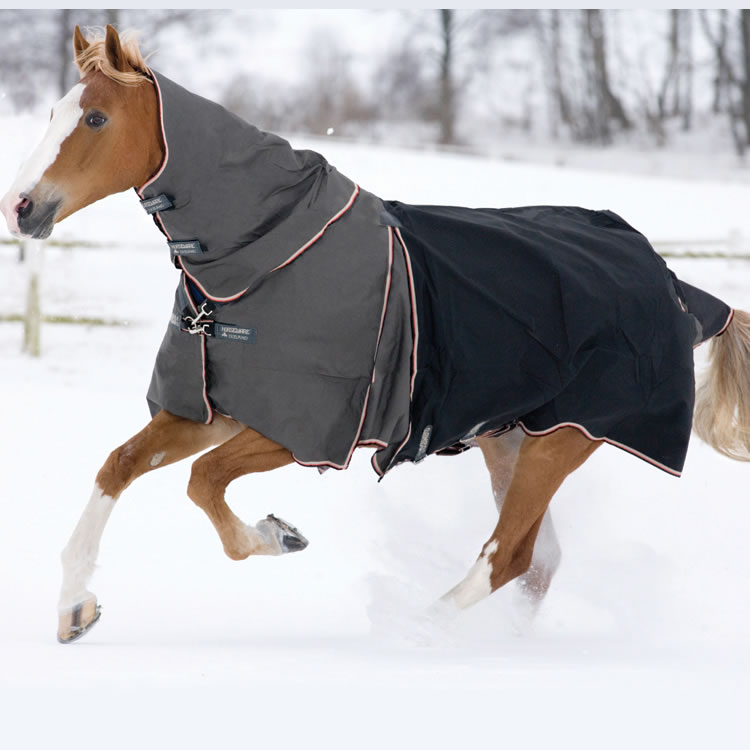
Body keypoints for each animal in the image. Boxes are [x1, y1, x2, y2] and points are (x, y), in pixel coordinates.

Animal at [3, 26, 749, 644]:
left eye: (96, 117)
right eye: (54, 114)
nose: (24, 208)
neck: (261, 261)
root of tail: (675, 286)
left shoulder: (300, 430)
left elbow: (202, 480)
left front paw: (279, 535)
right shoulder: (211, 409)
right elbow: (120, 465)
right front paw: (75, 610)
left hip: (561, 441)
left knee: (508, 555)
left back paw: (413, 631)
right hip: (510, 440)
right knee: (537, 563)